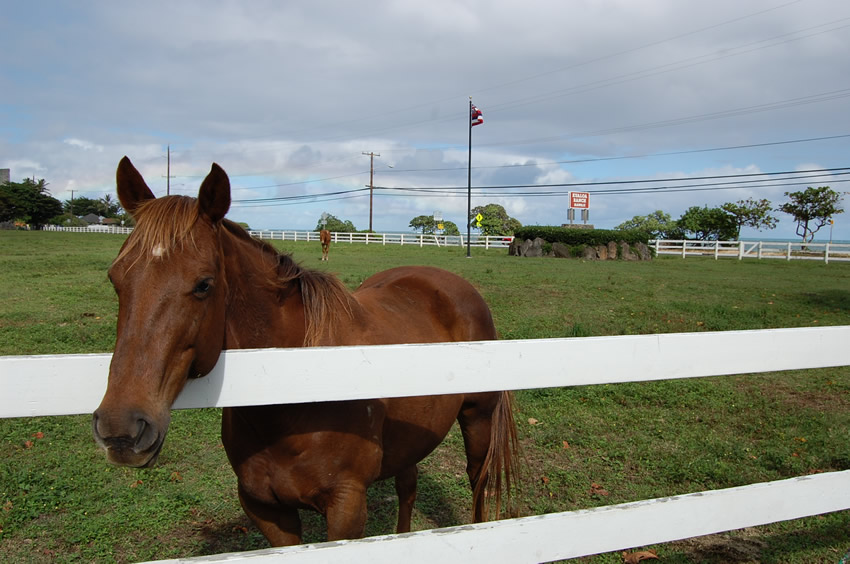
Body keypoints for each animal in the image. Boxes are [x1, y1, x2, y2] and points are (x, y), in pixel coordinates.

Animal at [93, 157, 519, 546]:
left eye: (203, 284)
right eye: (115, 278)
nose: (121, 429)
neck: (297, 393)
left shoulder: (346, 509)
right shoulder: (266, 509)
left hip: (478, 420)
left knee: (479, 482)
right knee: (408, 487)